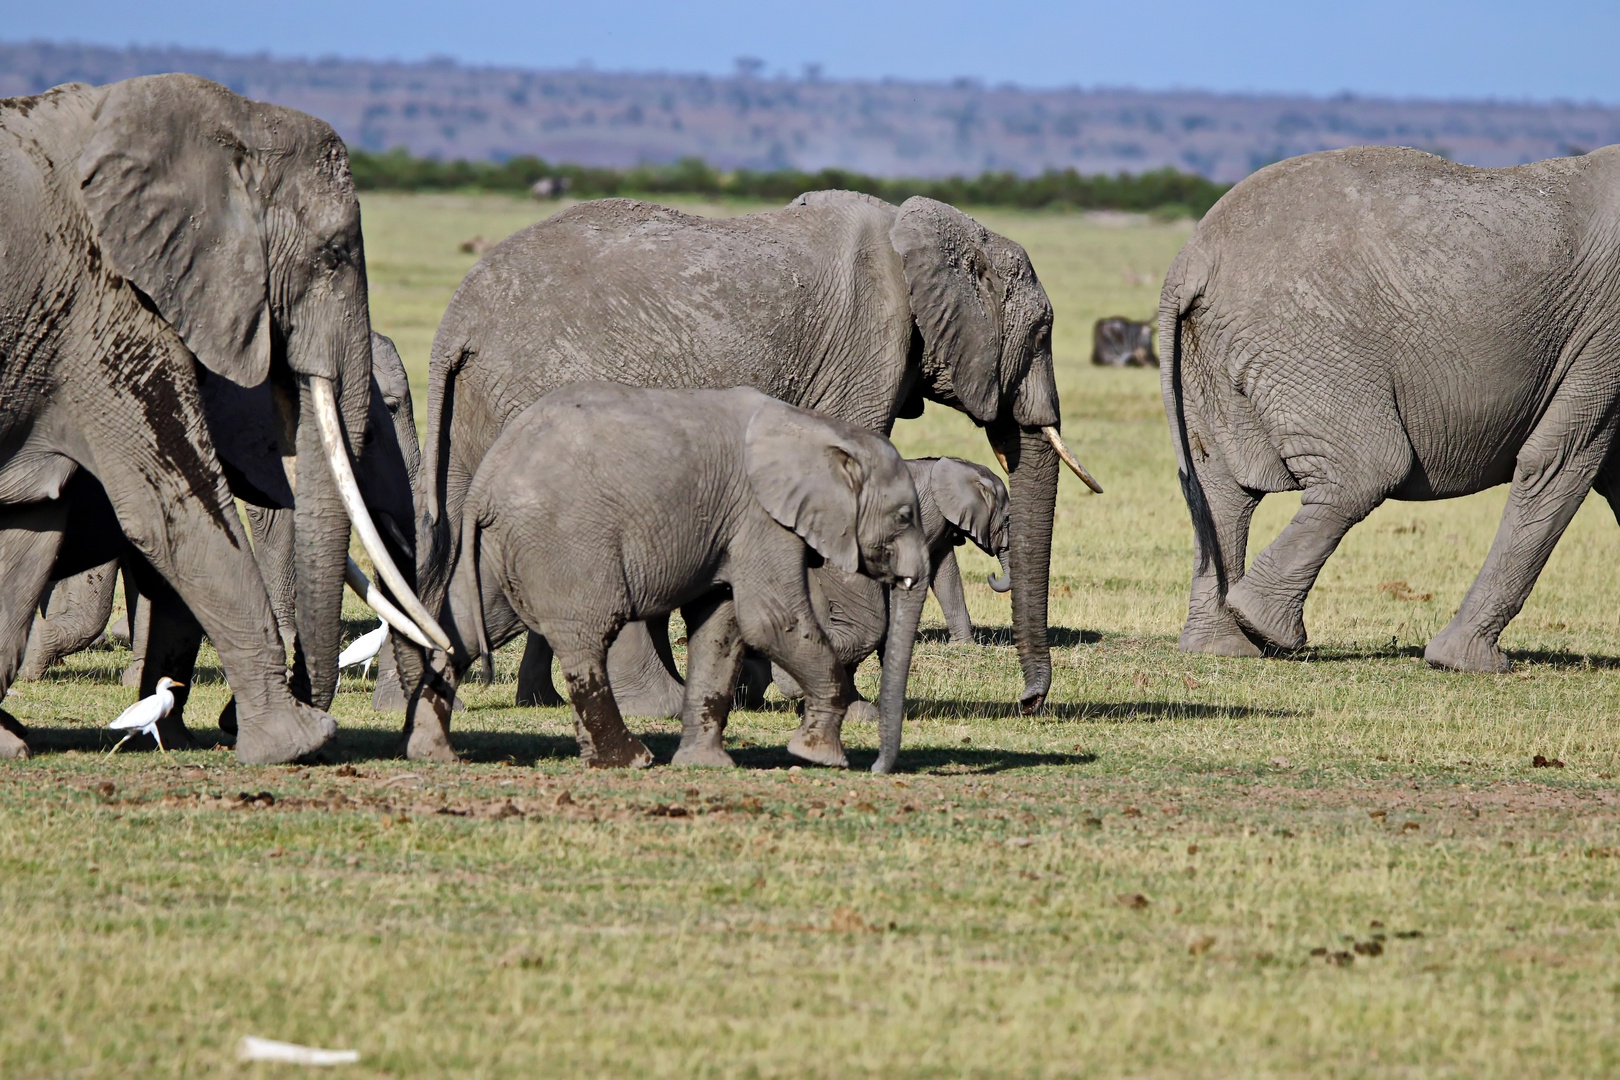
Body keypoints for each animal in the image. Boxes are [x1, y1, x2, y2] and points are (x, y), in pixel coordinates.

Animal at [0, 74, 443, 761]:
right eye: (335, 255)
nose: (228, 717)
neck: (237, 120)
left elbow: (33, 528)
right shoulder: (101, 310)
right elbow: (173, 515)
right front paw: (294, 742)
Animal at [443, 383, 933, 773]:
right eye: (904, 516)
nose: (879, 768)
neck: (817, 429)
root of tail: (487, 476)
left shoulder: (731, 527)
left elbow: (721, 627)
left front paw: (706, 765)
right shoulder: (759, 518)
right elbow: (771, 621)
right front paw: (819, 756)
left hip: (504, 544)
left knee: (468, 623)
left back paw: (437, 751)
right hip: (565, 538)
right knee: (586, 639)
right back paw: (629, 760)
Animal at [1159, 142, 1620, 667]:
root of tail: (1192, 258)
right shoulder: (1606, 327)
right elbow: (1562, 459)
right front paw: (1466, 664)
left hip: (1213, 353)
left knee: (1220, 490)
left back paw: (1224, 646)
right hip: (1307, 336)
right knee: (1367, 470)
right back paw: (1265, 628)